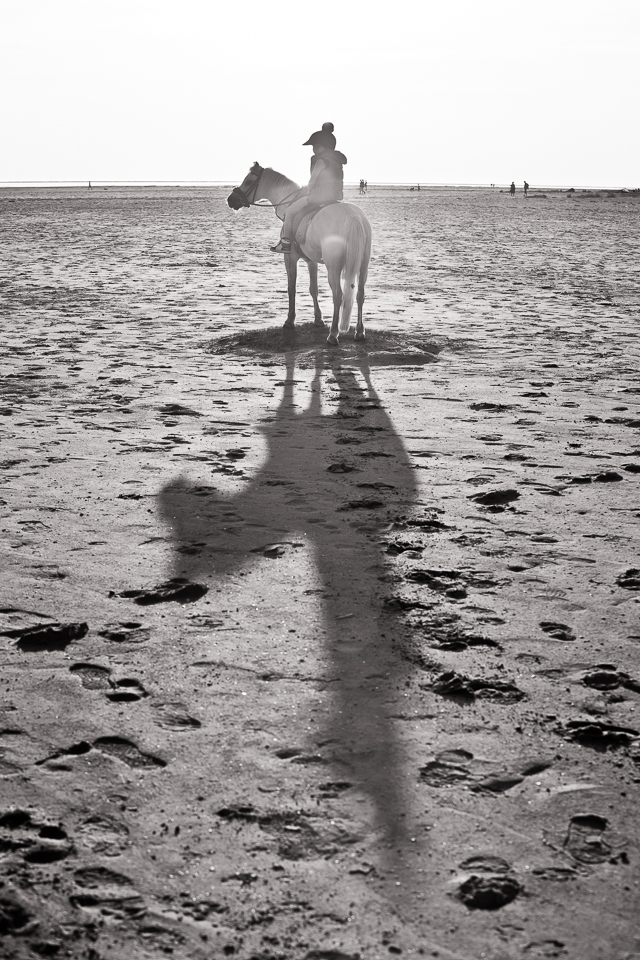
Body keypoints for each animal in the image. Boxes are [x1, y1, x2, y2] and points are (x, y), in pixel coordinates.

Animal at [228, 163, 372, 346]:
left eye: (248, 181)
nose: (230, 200)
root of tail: (353, 217)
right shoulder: (311, 261)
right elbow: (313, 289)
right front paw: (318, 319)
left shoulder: (290, 258)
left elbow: (291, 288)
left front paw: (290, 321)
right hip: (363, 265)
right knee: (360, 294)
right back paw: (359, 332)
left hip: (333, 267)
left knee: (338, 295)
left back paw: (333, 334)